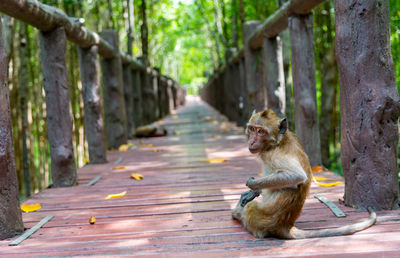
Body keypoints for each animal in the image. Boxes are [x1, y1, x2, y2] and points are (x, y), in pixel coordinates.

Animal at [233, 109, 376, 240]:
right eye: (252, 129)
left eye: (261, 131)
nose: (251, 141)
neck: (278, 142)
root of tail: (285, 225)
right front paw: (253, 192)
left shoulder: (274, 156)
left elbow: (297, 176)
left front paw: (252, 185)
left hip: (261, 220)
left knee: (251, 207)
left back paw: (239, 213)